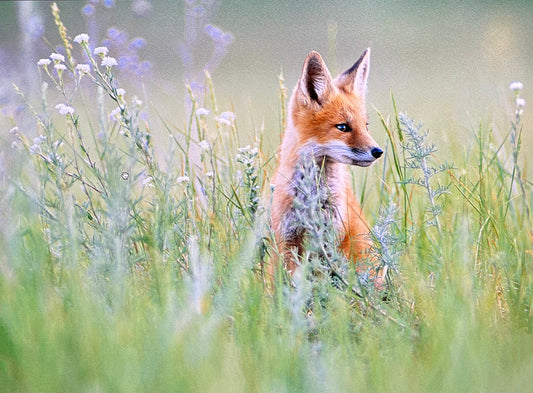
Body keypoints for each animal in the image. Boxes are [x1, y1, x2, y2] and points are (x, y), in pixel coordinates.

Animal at [270, 49, 382, 280]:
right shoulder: (287, 239)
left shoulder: (331, 239)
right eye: (343, 127)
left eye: (365, 126)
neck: (312, 196)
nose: (378, 152)